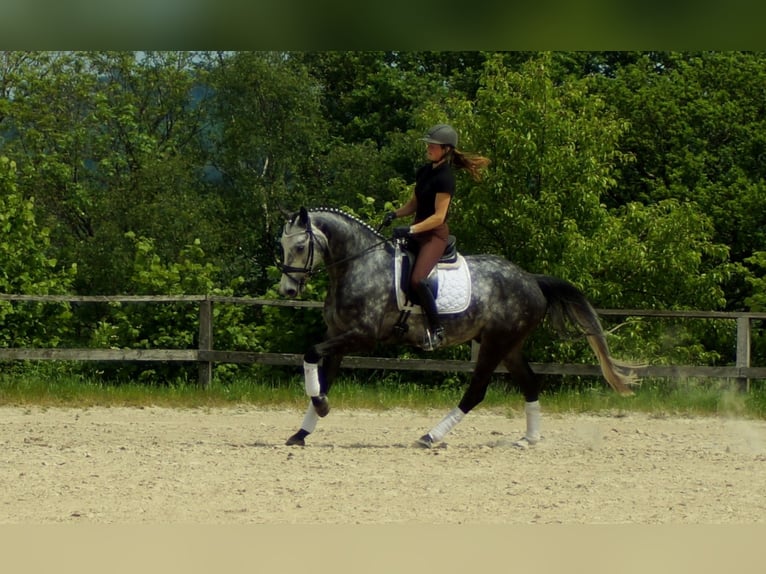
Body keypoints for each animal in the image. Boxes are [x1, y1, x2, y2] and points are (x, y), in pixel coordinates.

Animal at [278, 207, 636, 450]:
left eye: (299, 247)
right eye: (282, 245)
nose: (287, 291)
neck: (358, 265)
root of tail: (531, 280)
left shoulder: (362, 337)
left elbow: (311, 353)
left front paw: (321, 407)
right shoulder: (337, 334)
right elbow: (322, 373)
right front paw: (303, 430)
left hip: (494, 344)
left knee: (476, 391)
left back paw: (430, 436)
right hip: (509, 346)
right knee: (530, 383)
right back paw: (529, 439)